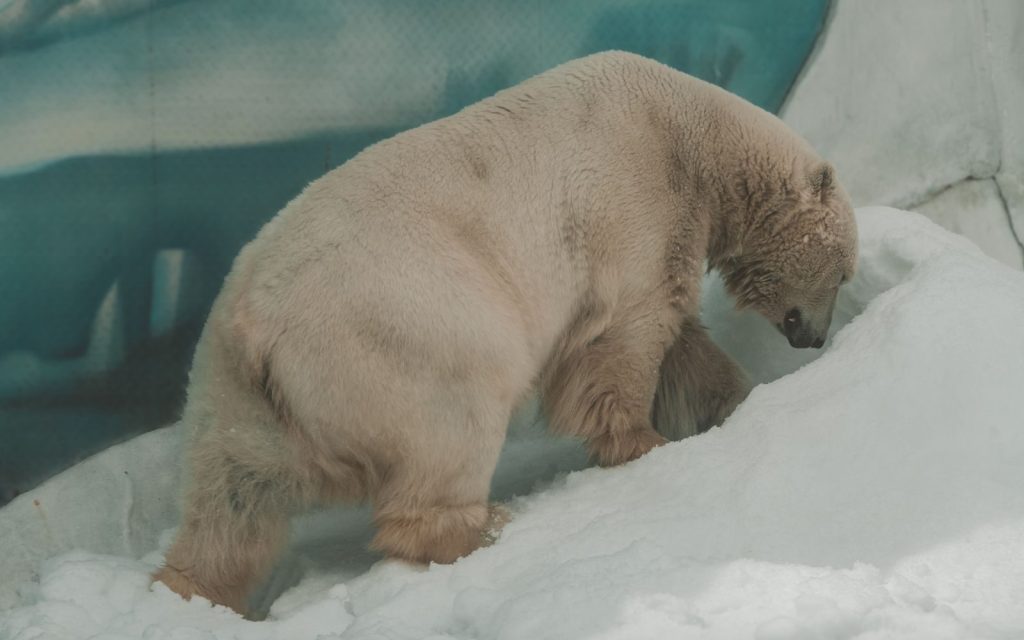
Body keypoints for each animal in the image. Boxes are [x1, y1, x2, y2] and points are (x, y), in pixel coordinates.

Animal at [153, 51, 857, 614]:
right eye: (845, 272)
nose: (815, 339)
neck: (691, 134)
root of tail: (255, 328)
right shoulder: (636, 206)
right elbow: (627, 339)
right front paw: (643, 444)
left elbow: (685, 345)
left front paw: (735, 401)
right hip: (401, 334)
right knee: (453, 425)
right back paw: (482, 526)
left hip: (232, 398)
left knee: (232, 509)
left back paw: (193, 589)